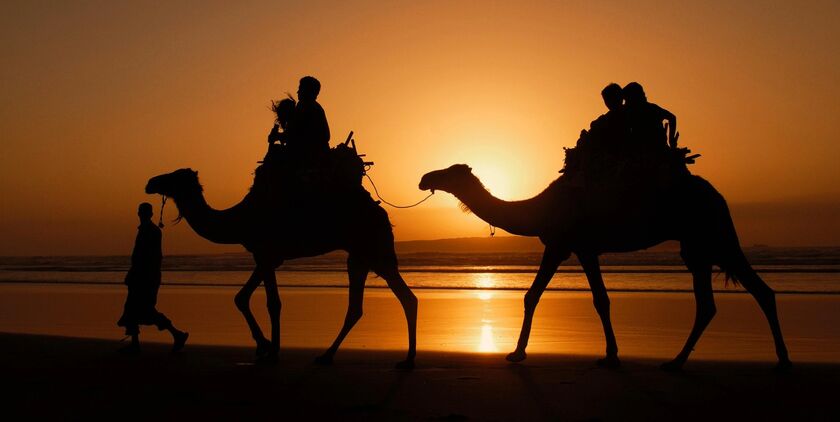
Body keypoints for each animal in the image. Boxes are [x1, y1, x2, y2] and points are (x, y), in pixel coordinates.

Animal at [148, 167, 420, 366]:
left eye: (173, 176)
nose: (150, 182)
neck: (239, 219)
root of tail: (383, 214)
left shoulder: (266, 253)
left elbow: (272, 303)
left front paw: (271, 350)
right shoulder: (266, 256)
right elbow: (242, 297)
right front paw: (264, 345)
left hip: (372, 249)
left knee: (402, 298)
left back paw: (406, 359)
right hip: (360, 255)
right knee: (363, 306)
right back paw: (330, 355)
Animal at [420, 163, 796, 370]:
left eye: (451, 172)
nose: (425, 178)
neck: (539, 208)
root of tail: (718, 196)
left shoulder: (567, 244)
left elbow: (557, 296)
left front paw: (516, 353)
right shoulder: (576, 247)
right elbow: (575, 298)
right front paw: (609, 354)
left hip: (710, 234)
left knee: (743, 293)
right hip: (700, 245)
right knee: (728, 298)